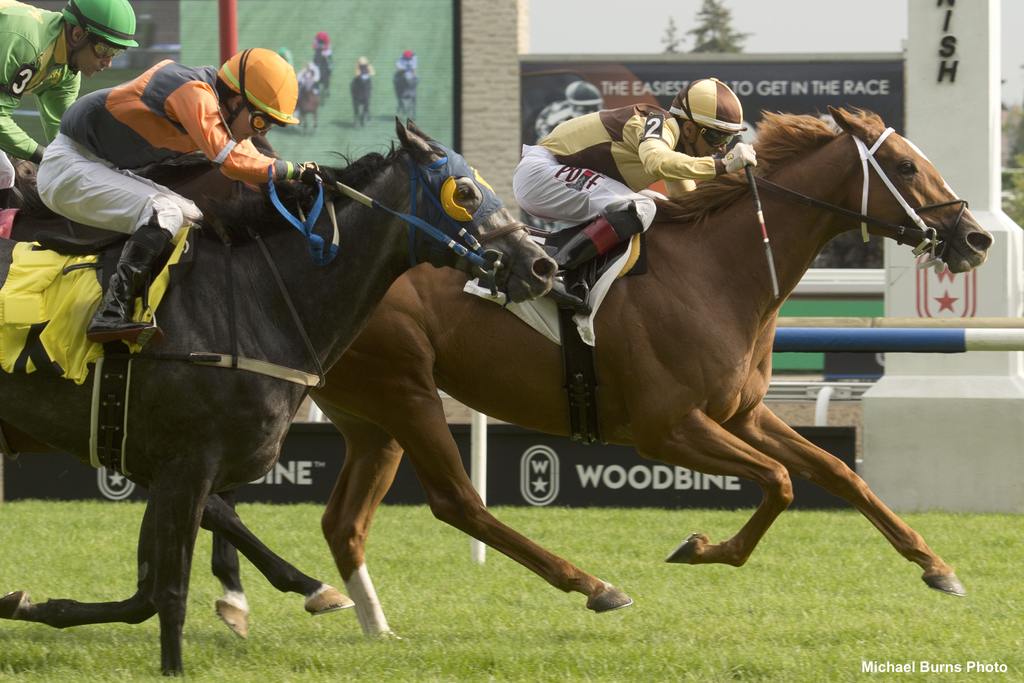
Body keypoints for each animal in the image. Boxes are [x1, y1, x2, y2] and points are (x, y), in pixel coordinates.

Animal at [0, 121, 557, 671]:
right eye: (464, 191)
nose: (541, 266)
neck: (253, 298)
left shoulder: (161, 464)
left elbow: (151, 589)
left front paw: (31, 603)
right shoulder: (184, 464)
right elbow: (171, 590)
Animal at [201, 105, 991, 634]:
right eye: (906, 166)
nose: (976, 236)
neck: (720, 269)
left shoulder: (741, 412)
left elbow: (837, 473)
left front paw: (938, 566)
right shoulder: (666, 428)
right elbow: (781, 481)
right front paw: (699, 546)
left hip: (370, 416)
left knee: (342, 520)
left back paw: (365, 618)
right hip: (405, 390)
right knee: (457, 502)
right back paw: (593, 585)